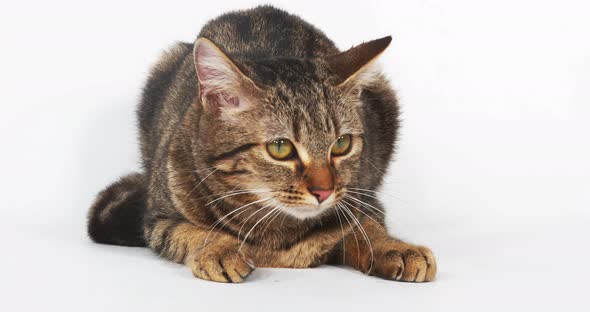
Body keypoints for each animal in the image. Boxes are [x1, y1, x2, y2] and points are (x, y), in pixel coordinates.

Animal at [89, 4, 440, 282]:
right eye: (280, 148)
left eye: (341, 144)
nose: (324, 191)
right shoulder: (158, 220)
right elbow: (189, 232)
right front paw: (218, 247)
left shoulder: (365, 198)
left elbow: (368, 227)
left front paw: (395, 247)